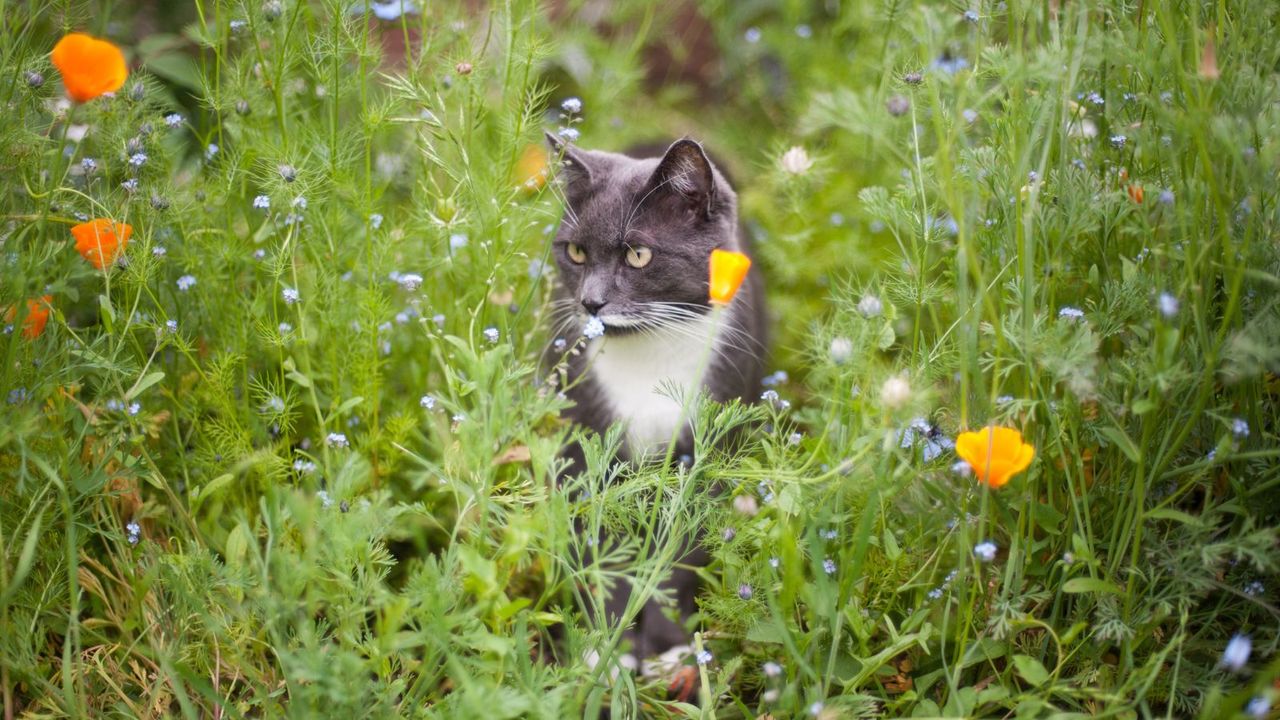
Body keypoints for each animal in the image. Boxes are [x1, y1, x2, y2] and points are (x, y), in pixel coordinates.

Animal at [542, 133, 762, 696]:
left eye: (638, 254)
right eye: (575, 251)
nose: (590, 301)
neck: (648, 354)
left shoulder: (704, 456)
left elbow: (680, 557)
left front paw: (668, 652)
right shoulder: (587, 445)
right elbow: (603, 551)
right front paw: (607, 651)